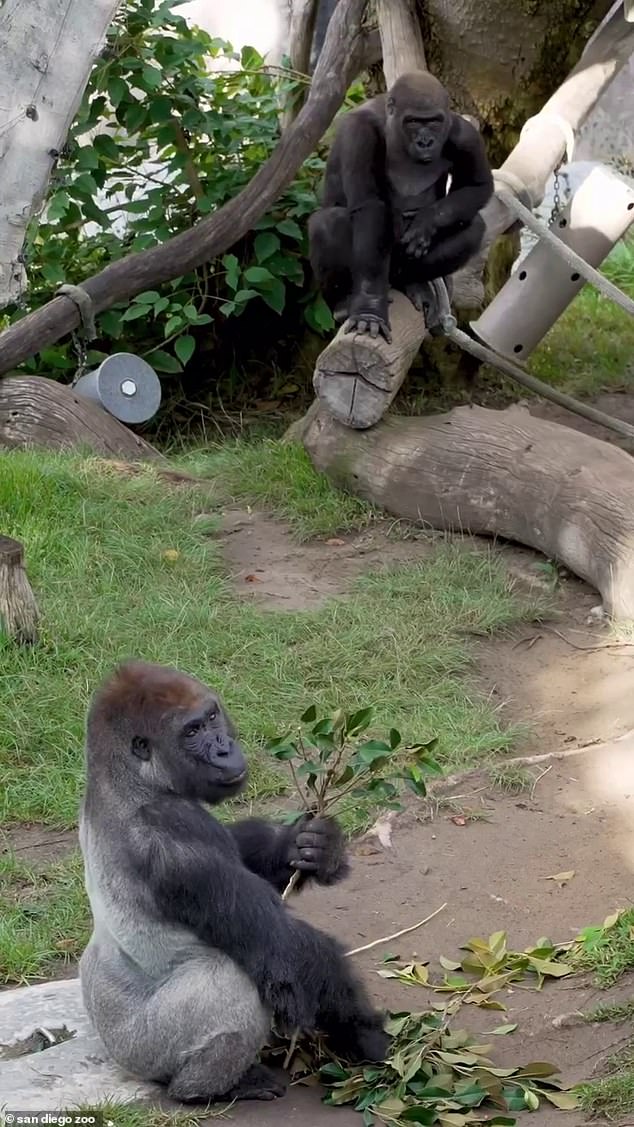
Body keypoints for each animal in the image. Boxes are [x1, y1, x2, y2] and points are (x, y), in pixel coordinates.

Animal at [78, 660, 388, 1104]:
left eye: (211, 718)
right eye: (191, 732)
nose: (224, 747)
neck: (126, 780)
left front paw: (309, 845)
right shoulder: (175, 828)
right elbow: (284, 949)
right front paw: (364, 1033)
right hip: (143, 1049)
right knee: (231, 980)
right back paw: (209, 1088)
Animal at [308, 70, 494, 342]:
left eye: (434, 121)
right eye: (414, 121)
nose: (426, 141)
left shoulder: (465, 135)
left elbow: (478, 185)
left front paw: (427, 221)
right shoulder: (359, 132)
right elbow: (371, 207)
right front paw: (370, 309)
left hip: (397, 269)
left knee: (473, 228)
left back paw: (414, 283)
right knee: (328, 224)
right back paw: (344, 302)